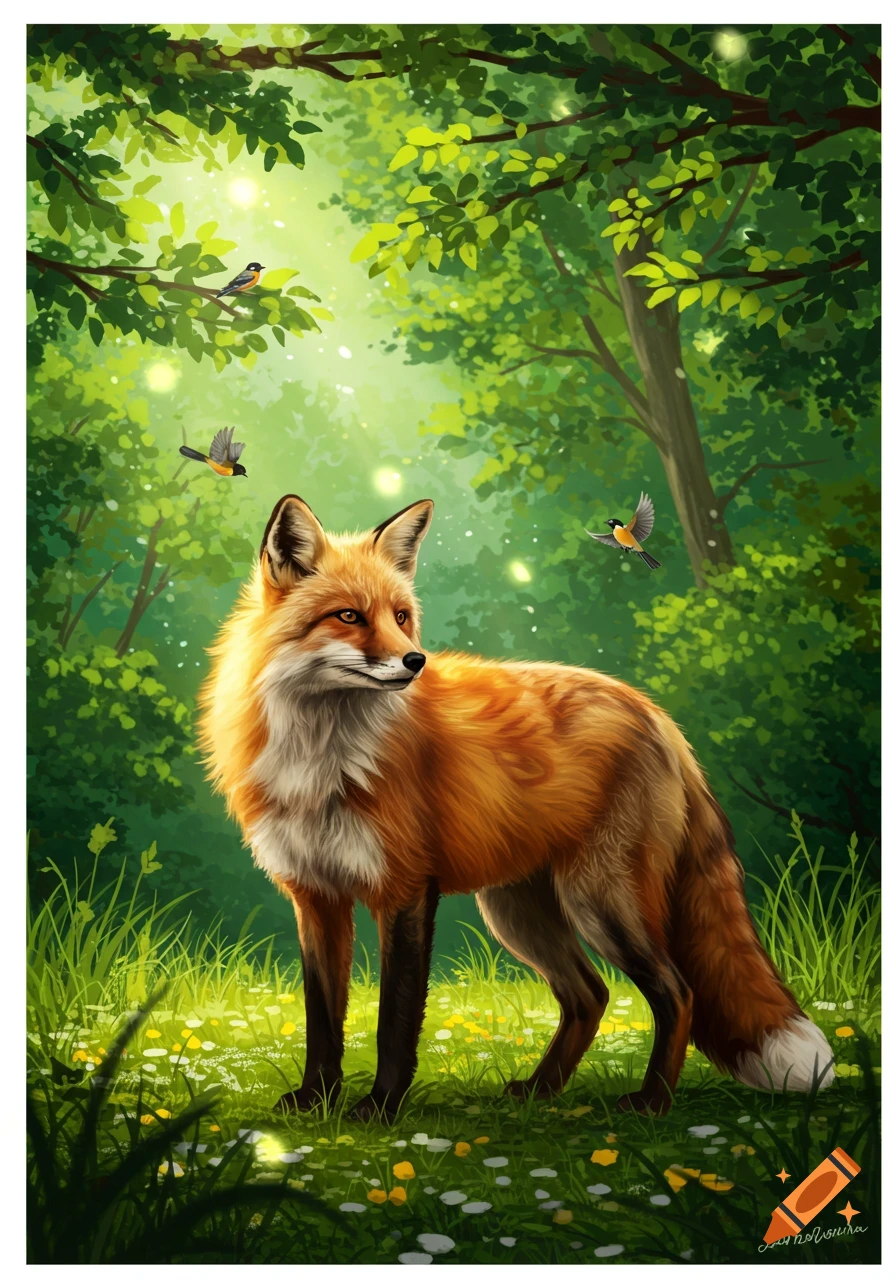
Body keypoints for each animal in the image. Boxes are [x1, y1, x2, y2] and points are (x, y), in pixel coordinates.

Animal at [199, 493, 833, 1121]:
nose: (415, 661)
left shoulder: (404, 889)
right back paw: (543, 1088)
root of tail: (655, 714)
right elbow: (323, 1017)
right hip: (519, 912)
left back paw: (651, 1101)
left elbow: (394, 1020)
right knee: (591, 995)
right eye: (349, 617)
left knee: (678, 992)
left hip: (600, 901)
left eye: (401, 617)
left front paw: (379, 1108)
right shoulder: (316, 895)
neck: (321, 758)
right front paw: (315, 1099)